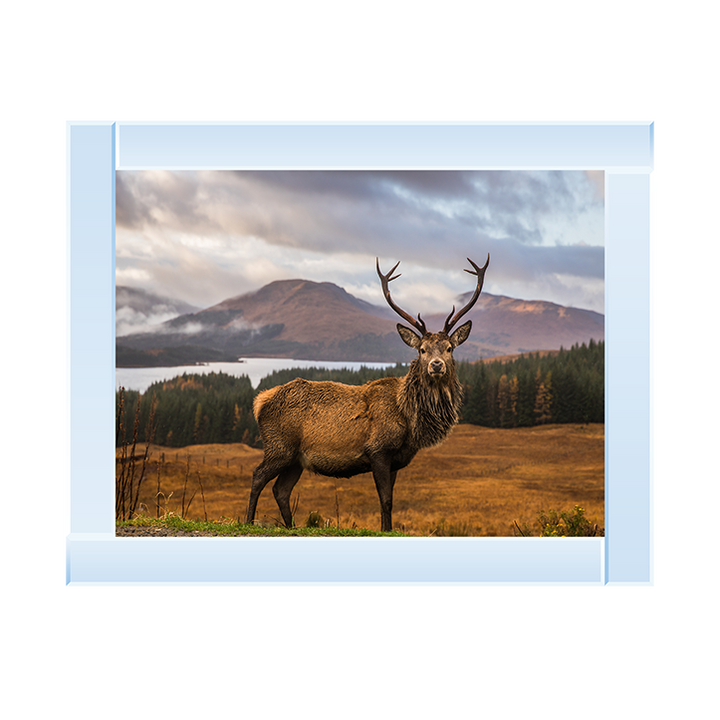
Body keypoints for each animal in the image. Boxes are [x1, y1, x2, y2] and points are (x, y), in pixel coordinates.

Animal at [245, 255, 490, 532]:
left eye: (449, 348)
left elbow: (390, 499)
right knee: (257, 476)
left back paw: (291, 527)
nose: (436, 365)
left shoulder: (396, 459)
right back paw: (249, 520)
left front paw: (387, 528)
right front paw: (386, 529)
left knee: (281, 490)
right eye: (422, 350)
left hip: (296, 459)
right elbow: (385, 500)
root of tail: (260, 401)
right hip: (279, 446)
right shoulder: (378, 449)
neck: (409, 420)